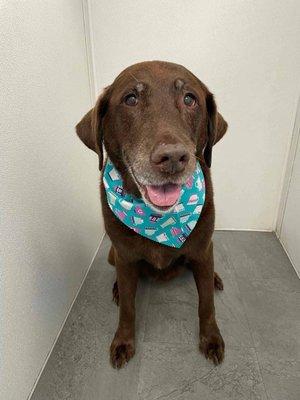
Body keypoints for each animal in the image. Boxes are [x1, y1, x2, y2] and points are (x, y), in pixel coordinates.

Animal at [75, 61, 227, 370]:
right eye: (131, 98)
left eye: (190, 99)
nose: (173, 158)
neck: (160, 222)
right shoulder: (124, 255)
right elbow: (128, 308)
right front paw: (123, 340)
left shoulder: (202, 248)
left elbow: (206, 303)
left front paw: (211, 338)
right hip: (113, 254)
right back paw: (117, 289)